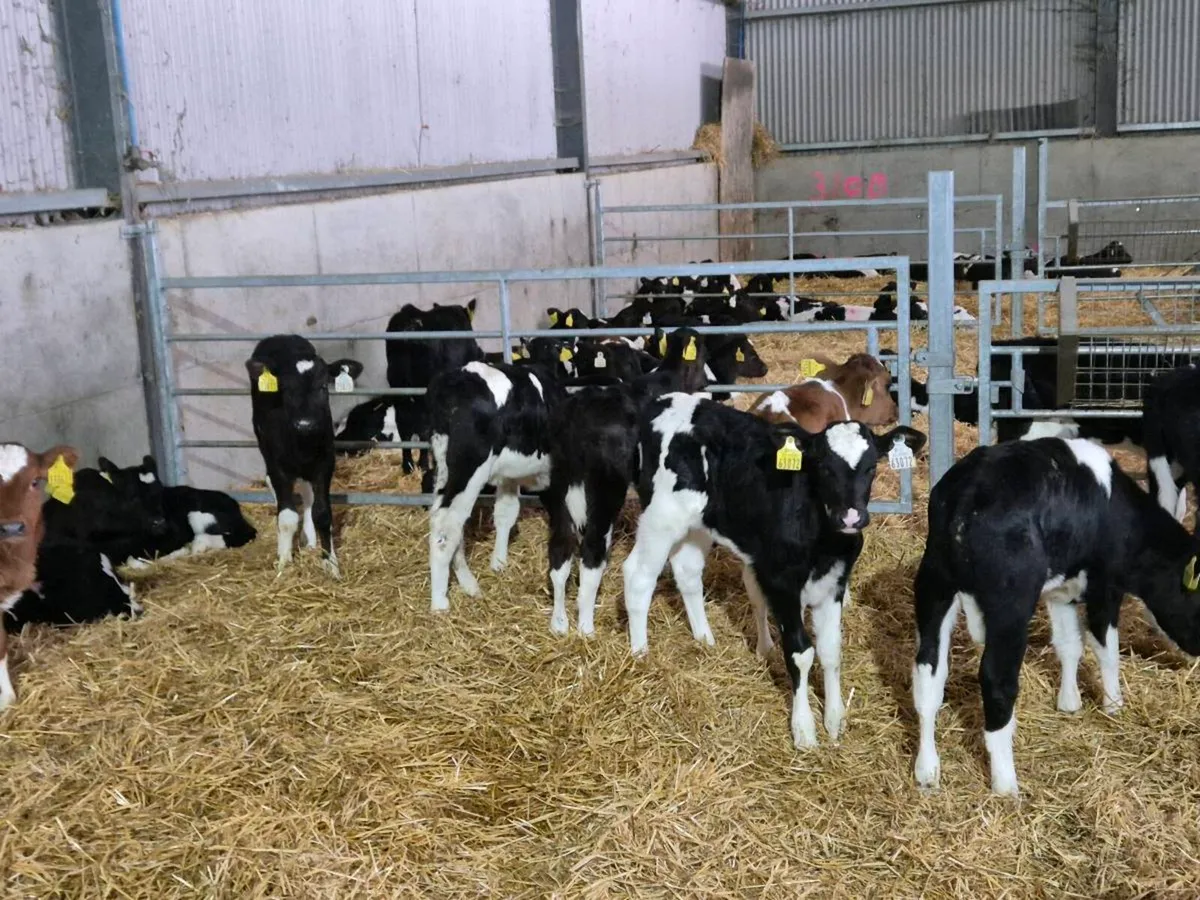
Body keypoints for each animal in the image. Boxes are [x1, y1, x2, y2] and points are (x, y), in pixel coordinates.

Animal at [245, 335, 363, 577]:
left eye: (323, 386)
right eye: (286, 388)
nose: (305, 423)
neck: (302, 443)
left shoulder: (325, 463)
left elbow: (322, 513)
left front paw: (331, 564)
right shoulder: (278, 466)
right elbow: (287, 517)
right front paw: (284, 562)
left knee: (308, 495)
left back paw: (308, 540)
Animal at [622, 393, 926, 747]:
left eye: (871, 466)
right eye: (822, 466)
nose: (850, 518)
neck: (822, 541)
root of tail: (667, 400)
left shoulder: (834, 582)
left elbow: (831, 649)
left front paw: (835, 719)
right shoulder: (782, 582)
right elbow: (800, 652)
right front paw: (804, 730)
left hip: (696, 524)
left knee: (687, 572)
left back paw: (704, 639)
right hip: (660, 518)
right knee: (638, 576)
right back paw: (640, 654)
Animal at [913, 437, 1200, 796]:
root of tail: (967, 492)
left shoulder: (1061, 591)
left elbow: (1069, 645)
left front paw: (1069, 702)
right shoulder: (1105, 587)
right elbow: (1106, 649)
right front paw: (1113, 705)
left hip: (934, 584)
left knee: (928, 676)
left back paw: (927, 771)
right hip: (1010, 605)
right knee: (997, 679)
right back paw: (1006, 784)